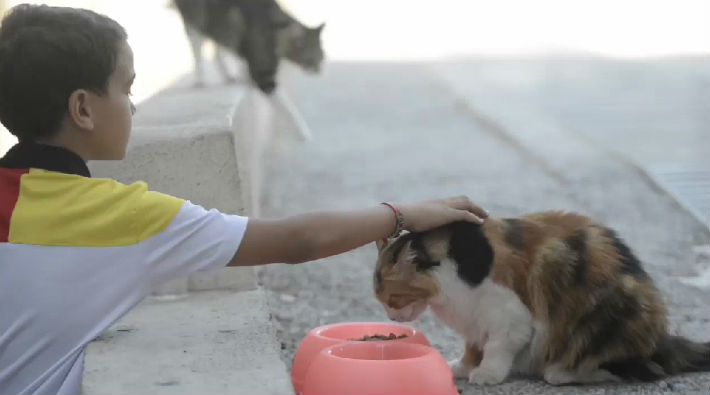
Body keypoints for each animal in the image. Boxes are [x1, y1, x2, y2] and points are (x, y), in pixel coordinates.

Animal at [174, 0, 324, 93]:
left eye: (321, 58)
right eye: (311, 59)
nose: (319, 71)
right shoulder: (263, 71)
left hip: (217, 31)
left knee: (217, 53)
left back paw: (229, 77)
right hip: (195, 27)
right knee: (197, 54)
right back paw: (200, 80)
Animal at [376, 213, 708, 386]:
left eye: (392, 298)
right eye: (382, 301)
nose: (390, 318)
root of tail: (661, 338)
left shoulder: (511, 318)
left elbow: (495, 347)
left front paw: (486, 374)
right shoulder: (474, 320)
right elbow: (474, 344)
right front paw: (463, 366)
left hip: (604, 317)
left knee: (635, 369)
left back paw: (563, 372)